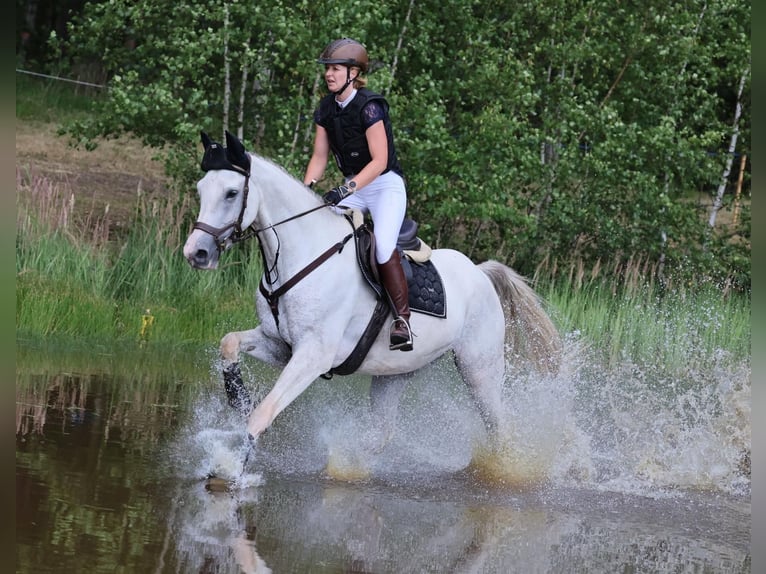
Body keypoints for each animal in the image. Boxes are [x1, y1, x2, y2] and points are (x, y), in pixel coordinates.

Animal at [183, 130, 562, 479]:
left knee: (498, 427)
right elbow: (229, 343)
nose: (196, 253)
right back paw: (346, 462)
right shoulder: (281, 346)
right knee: (381, 434)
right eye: (202, 189)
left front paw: (230, 470)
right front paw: (237, 396)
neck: (299, 257)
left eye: (232, 193)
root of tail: (480, 272)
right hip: (395, 374)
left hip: (479, 369)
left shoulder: (313, 355)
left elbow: (263, 413)